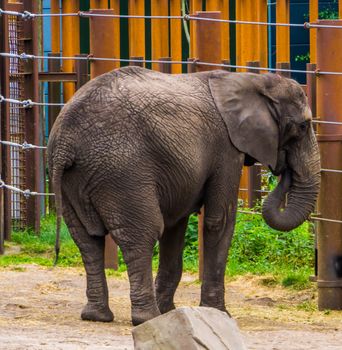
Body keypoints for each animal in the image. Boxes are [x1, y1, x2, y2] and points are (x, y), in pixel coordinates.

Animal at [47, 65, 320, 326]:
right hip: (122, 172)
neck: (252, 80)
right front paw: (219, 313)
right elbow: (219, 221)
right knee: (141, 235)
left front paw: (170, 311)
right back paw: (147, 318)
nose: (283, 168)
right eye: (303, 126)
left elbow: (175, 227)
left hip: (73, 179)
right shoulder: (226, 148)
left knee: (87, 240)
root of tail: (65, 142)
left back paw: (97, 316)